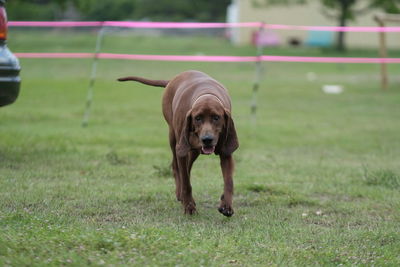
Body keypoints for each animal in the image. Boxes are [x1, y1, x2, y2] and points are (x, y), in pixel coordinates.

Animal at [118, 70, 238, 217]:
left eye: (216, 117)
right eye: (198, 118)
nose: (207, 139)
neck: (206, 93)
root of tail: (172, 79)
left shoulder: (225, 151)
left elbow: (229, 181)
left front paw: (226, 205)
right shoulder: (181, 149)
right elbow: (185, 182)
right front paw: (189, 207)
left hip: (194, 150)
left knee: (188, 167)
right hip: (174, 137)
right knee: (176, 167)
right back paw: (180, 194)